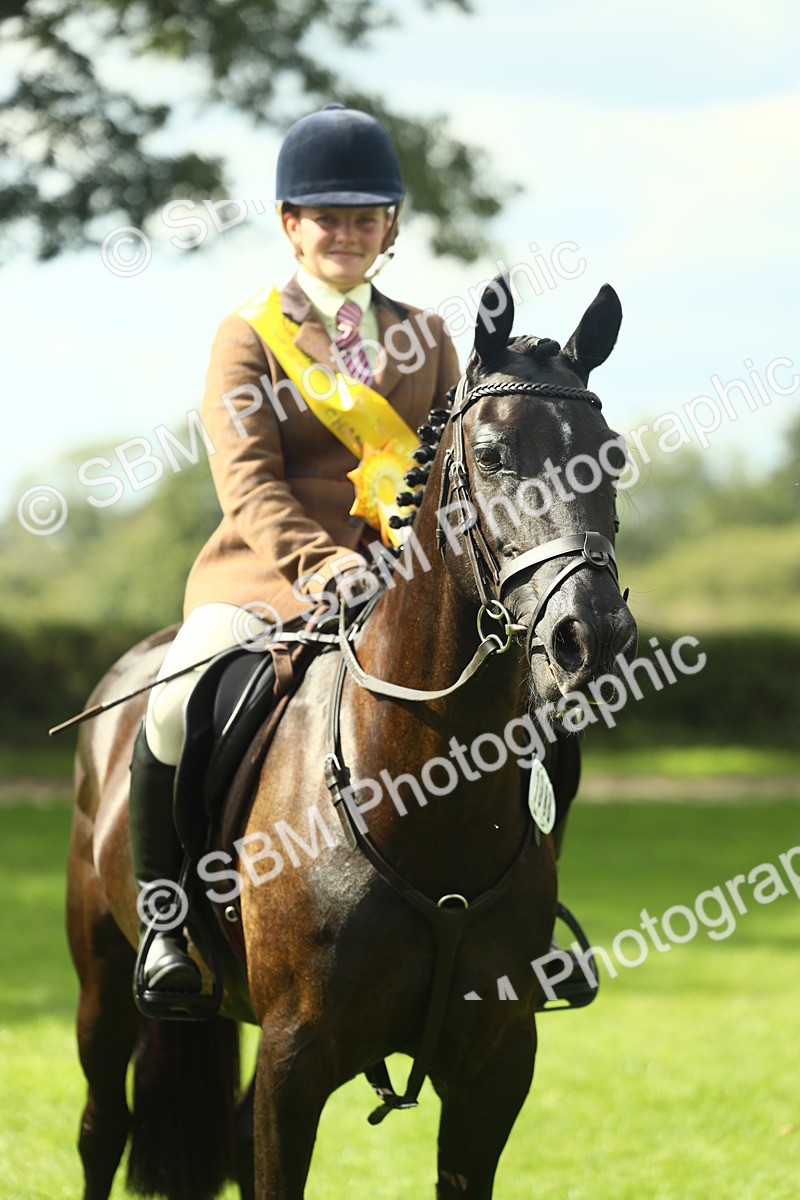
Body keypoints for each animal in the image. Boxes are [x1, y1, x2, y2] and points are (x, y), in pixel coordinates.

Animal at [66, 273, 637, 1200]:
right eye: (492, 455)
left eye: (611, 456)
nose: (592, 636)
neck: (421, 792)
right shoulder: (295, 1060)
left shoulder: (495, 1067)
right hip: (103, 979)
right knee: (100, 1127)